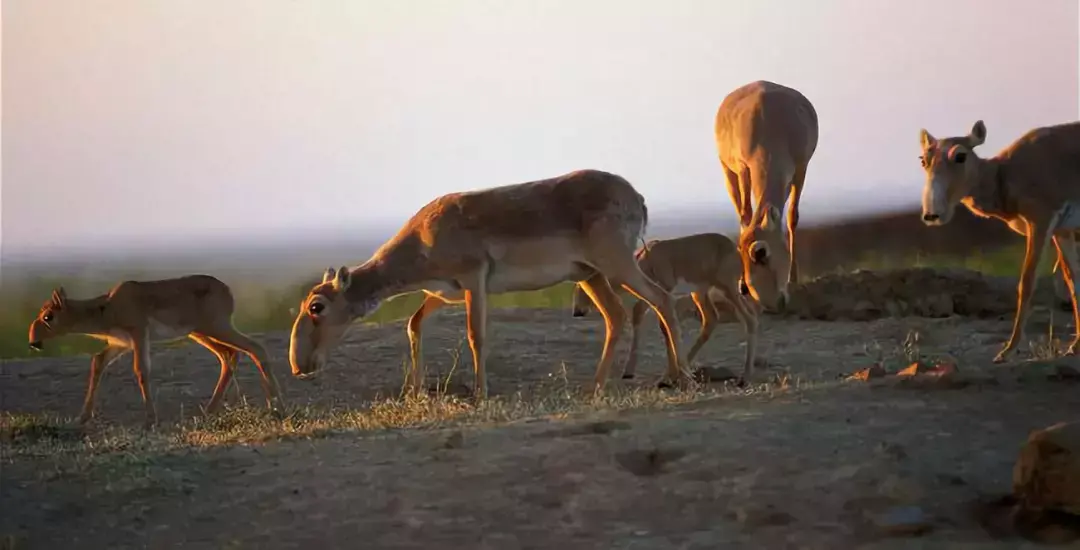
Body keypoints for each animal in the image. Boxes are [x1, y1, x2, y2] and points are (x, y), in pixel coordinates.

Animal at [27, 276, 285, 425]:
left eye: (48, 316)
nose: (33, 341)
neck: (107, 307)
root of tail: (228, 290)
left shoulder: (139, 334)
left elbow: (141, 369)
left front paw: (151, 418)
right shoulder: (120, 343)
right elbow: (98, 361)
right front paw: (83, 416)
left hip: (216, 327)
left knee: (256, 349)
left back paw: (277, 408)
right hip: (200, 332)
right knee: (229, 355)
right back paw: (209, 410)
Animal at [289, 169, 691, 397]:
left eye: (317, 307)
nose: (298, 365)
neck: (423, 238)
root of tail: (636, 196)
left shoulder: (474, 279)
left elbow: (475, 335)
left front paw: (479, 393)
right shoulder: (444, 292)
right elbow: (414, 323)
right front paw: (415, 391)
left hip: (615, 263)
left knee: (661, 299)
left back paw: (680, 377)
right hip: (590, 274)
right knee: (617, 316)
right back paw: (597, 386)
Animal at [565, 232, 760, 382]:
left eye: (580, 286)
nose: (577, 311)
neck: (648, 256)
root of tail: (734, 248)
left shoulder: (666, 290)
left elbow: (664, 325)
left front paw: (668, 377)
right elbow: (642, 316)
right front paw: (630, 372)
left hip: (728, 289)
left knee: (750, 318)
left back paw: (745, 378)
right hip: (700, 293)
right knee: (711, 319)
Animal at [717, 78, 816, 309]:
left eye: (761, 253)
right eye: (742, 257)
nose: (773, 304)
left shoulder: (801, 167)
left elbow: (792, 217)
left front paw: (793, 278)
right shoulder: (743, 167)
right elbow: (745, 215)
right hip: (727, 171)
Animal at [915, 118, 1080, 360]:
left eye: (960, 156)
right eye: (923, 160)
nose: (932, 215)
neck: (1003, 174)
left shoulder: (1040, 222)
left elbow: (1026, 282)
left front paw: (1008, 350)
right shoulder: (1062, 230)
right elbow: (1072, 280)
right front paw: (1076, 345)